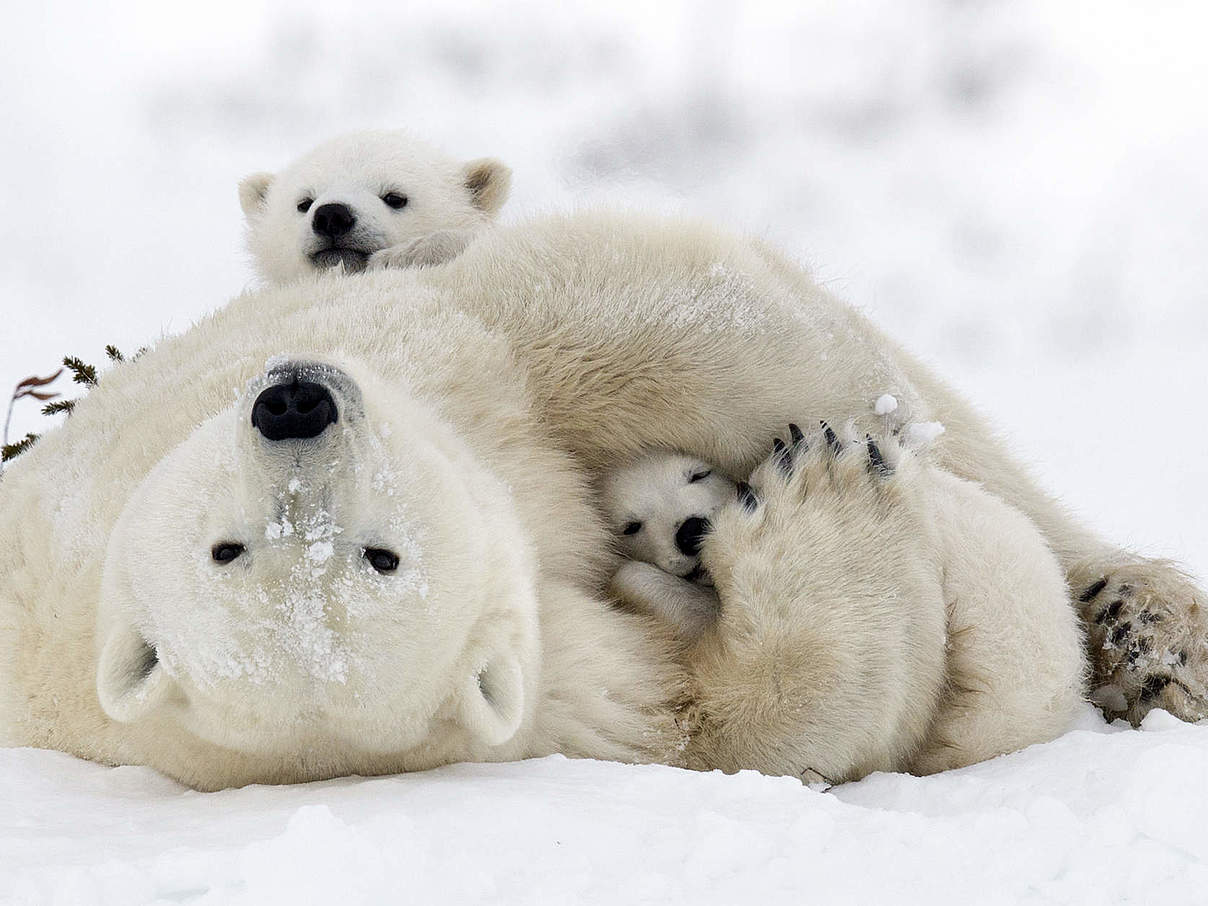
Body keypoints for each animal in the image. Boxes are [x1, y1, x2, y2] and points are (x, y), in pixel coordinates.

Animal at [2, 208, 1208, 792]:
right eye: (235, 550)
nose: (295, 405)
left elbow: (629, 329)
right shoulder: (551, 697)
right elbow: (730, 717)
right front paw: (819, 490)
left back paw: (1146, 629)